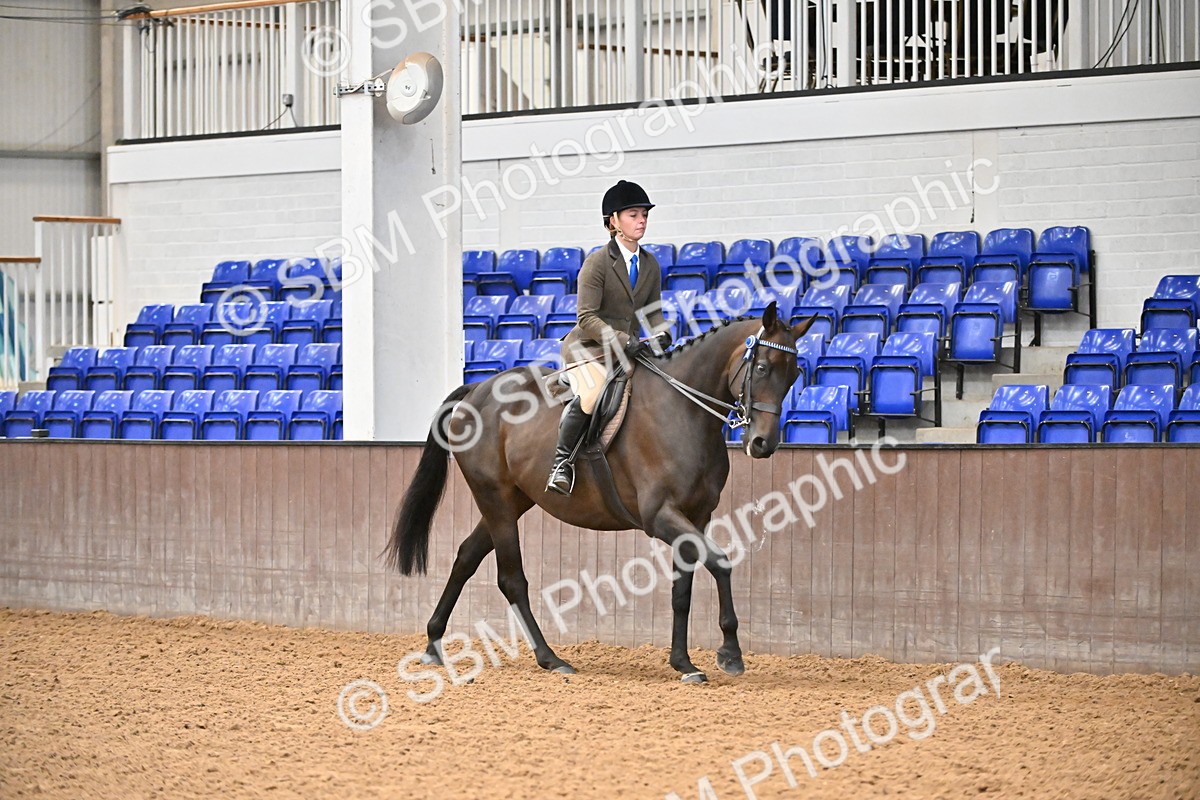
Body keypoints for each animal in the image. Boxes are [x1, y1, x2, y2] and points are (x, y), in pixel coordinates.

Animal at [385, 302, 814, 683]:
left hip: (512, 500)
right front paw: (730, 653)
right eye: (762, 368)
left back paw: (434, 645)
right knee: (511, 579)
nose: (762, 444)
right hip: (495, 499)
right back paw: (550, 658)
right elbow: (721, 563)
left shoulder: (696, 517)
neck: (683, 411)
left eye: (793, 375)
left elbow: (683, 589)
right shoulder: (661, 516)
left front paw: (684, 663)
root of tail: (478, 389)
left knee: (466, 557)